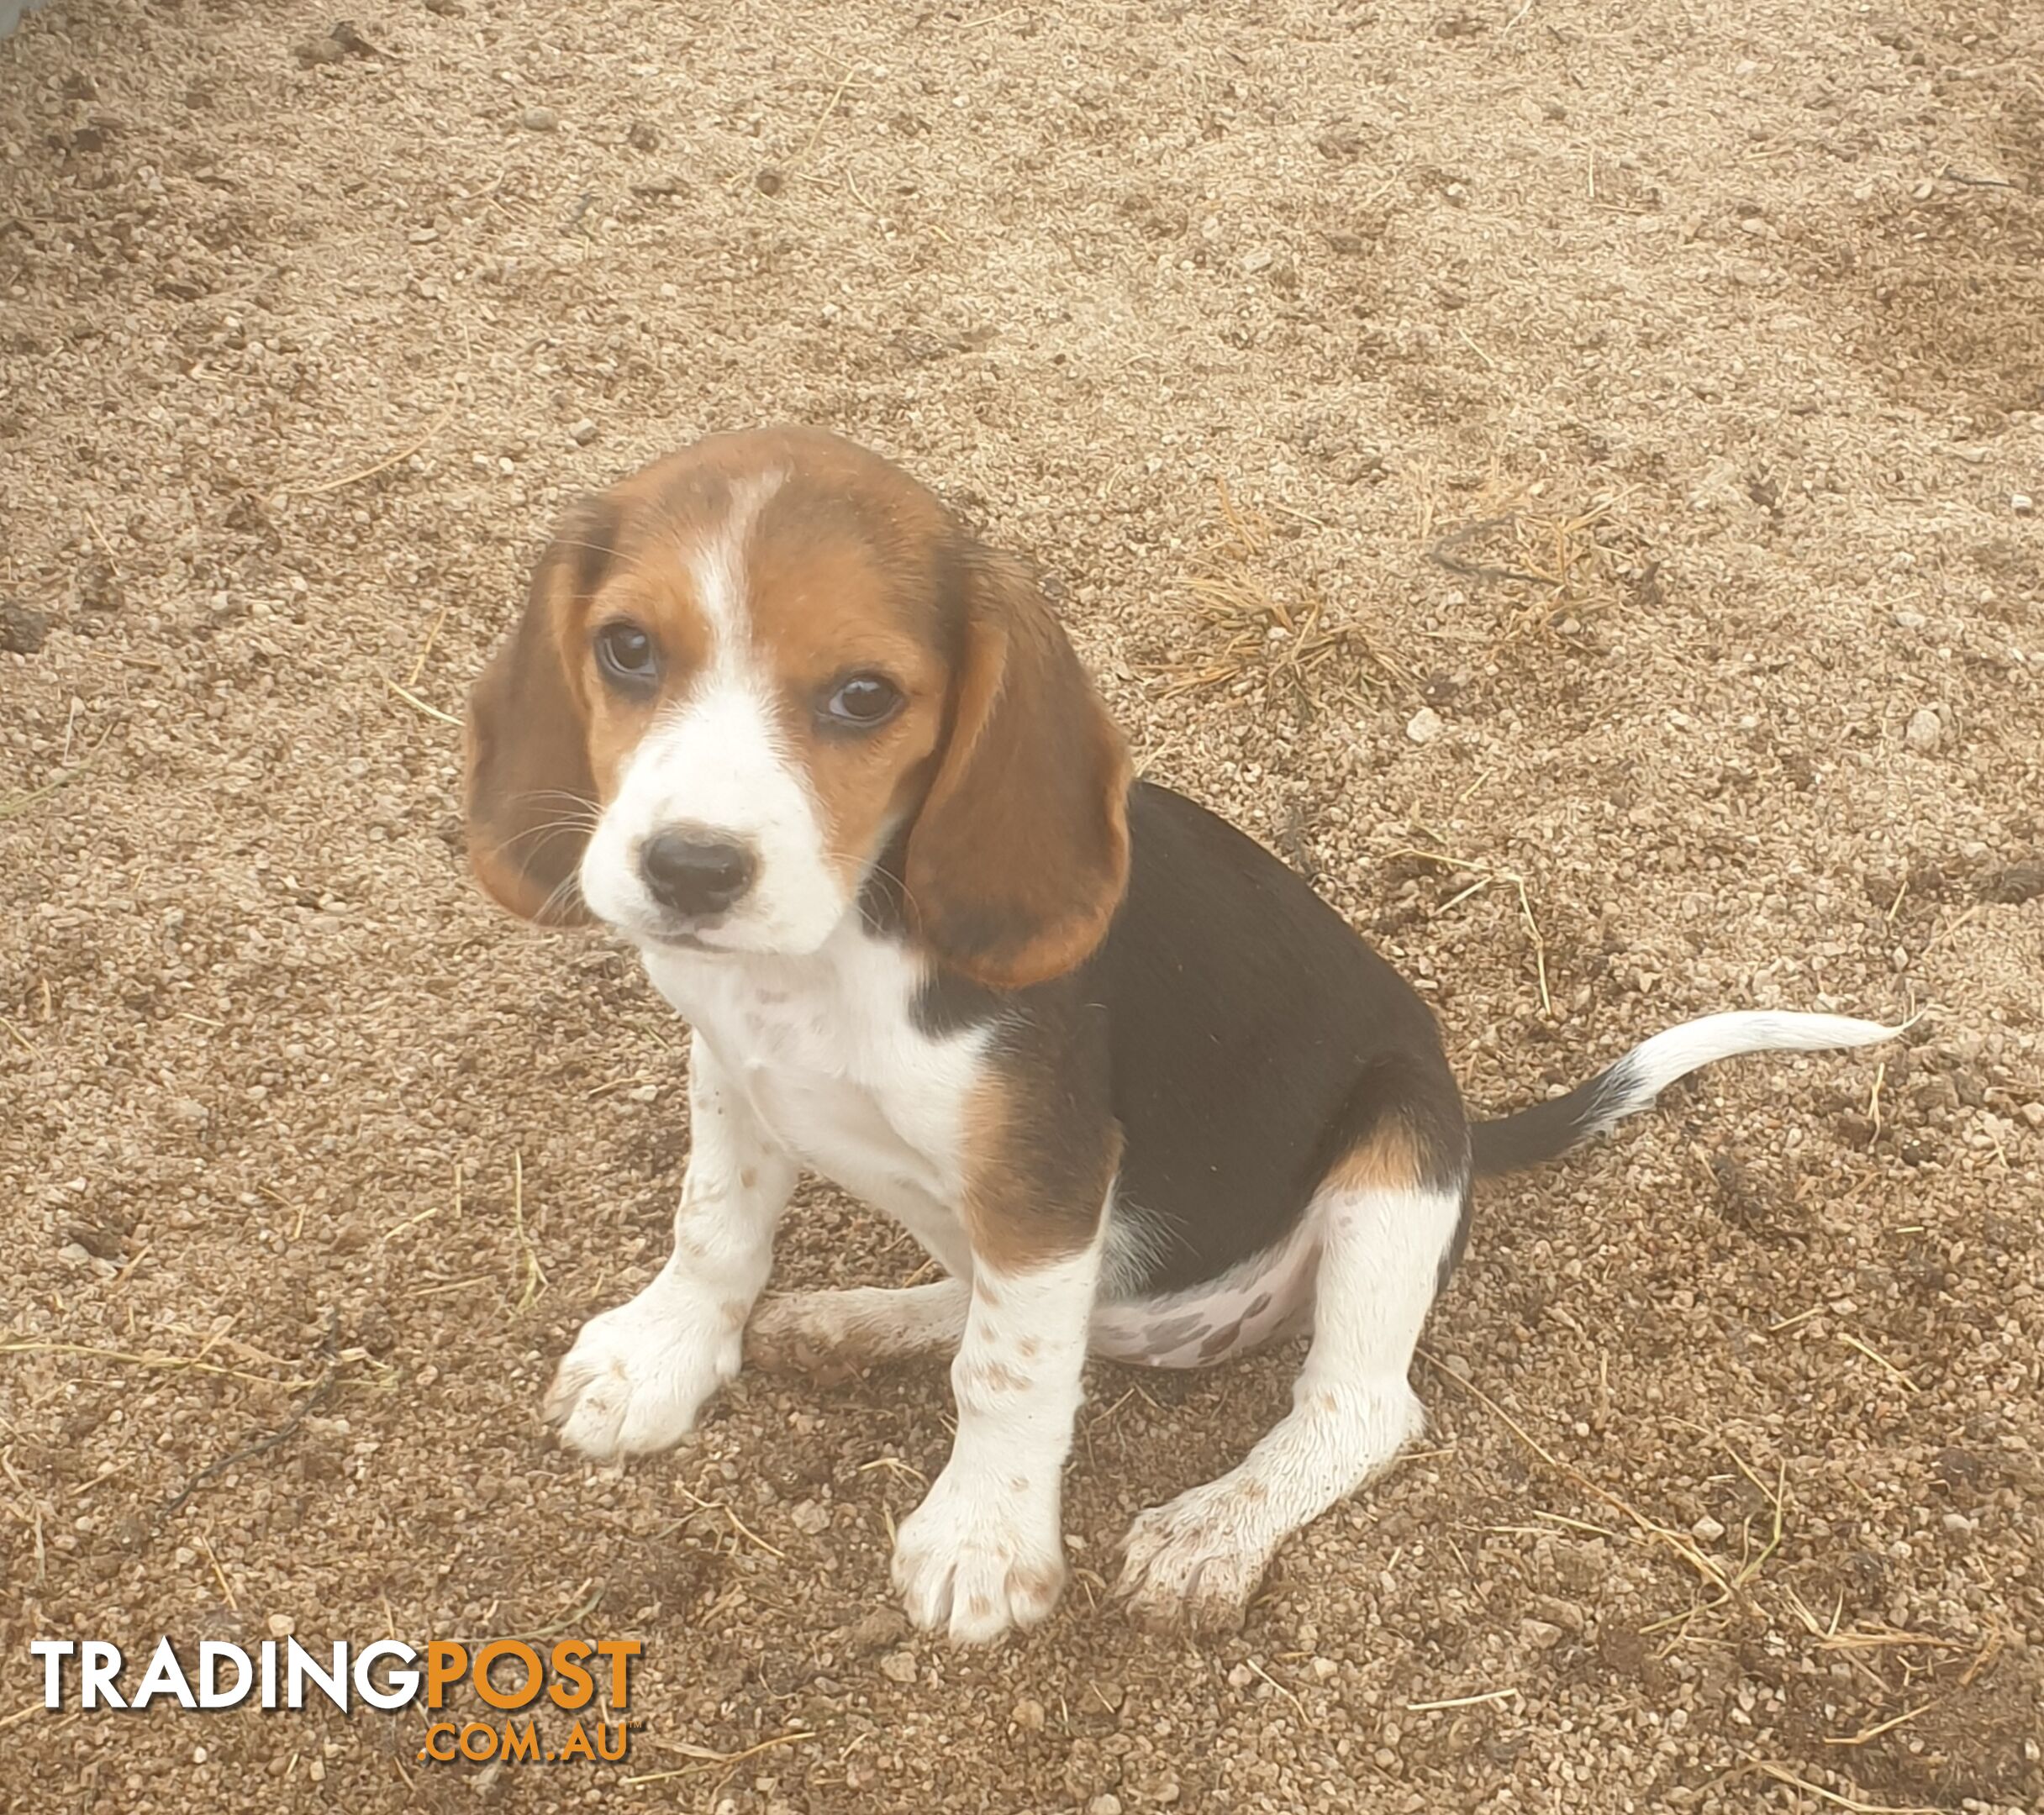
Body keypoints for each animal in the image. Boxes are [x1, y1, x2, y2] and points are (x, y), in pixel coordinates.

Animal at [464, 429, 1896, 1643]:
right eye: (628, 650)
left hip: (1395, 1156)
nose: (690, 869)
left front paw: (983, 1539)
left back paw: (1217, 1530)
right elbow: (715, 1228)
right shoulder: (735, 1069)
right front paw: (658, 1356)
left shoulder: (1047, 1166)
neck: (831, 955)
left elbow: (1008, 1376)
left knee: (1356, 1407)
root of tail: (1463, 1117)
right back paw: (864, 1321)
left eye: (866, 696)